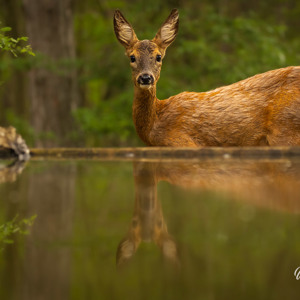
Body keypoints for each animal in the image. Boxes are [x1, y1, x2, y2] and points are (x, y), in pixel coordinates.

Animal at [113, 10, 300, 148]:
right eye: (132, 57)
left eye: (159, 57)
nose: (146, 78)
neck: (155, 126)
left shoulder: (183, 143)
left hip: (286, 131)